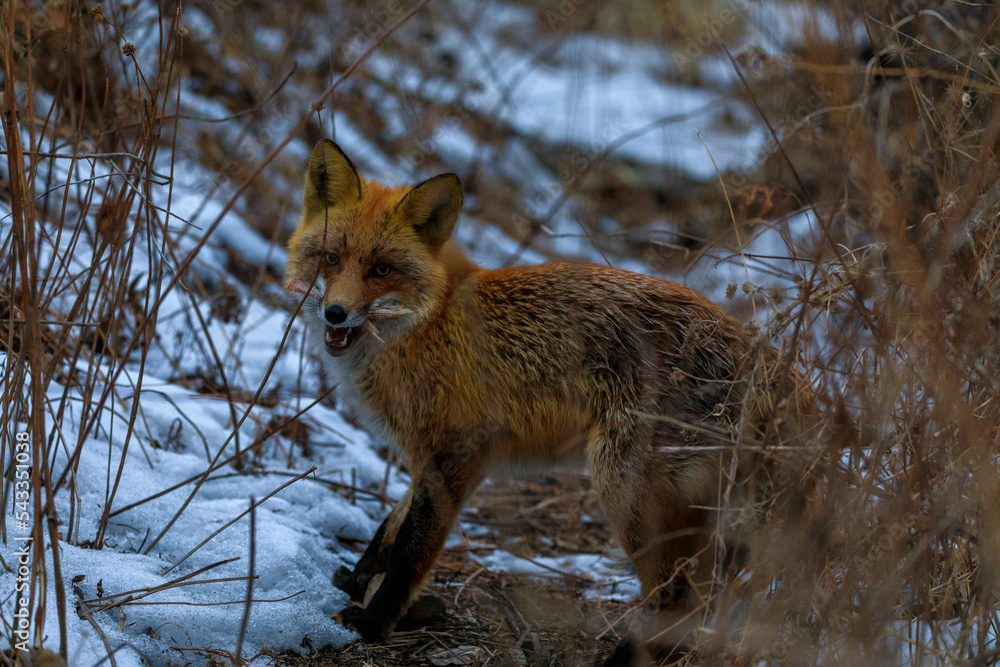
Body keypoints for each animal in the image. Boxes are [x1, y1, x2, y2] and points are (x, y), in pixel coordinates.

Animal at [285, 139, 814, 666]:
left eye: (381, 269)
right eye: (330, 258)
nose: (336, 313)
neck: (431, 323)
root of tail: (773, 365)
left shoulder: (454, 456)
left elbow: (408, 552)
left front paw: (374, 623)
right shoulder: (431, 459)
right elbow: (388, 530)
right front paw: (355, 581)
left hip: (625, 491)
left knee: (679, 594)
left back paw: (623, 660)